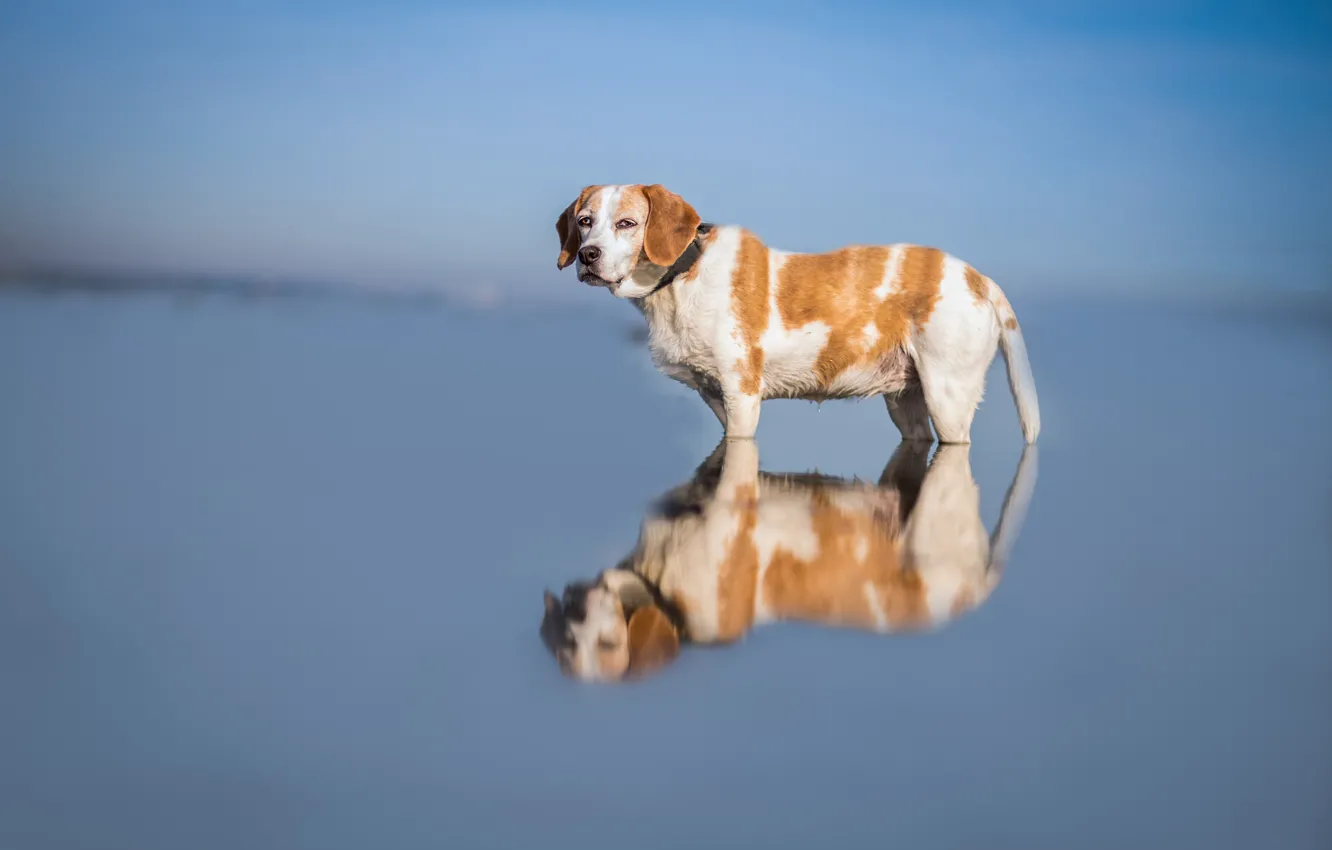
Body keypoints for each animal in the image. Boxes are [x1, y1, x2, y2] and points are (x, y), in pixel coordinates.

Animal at [551, 185, 1038, 447]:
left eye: (627, 224)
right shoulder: (714, 398)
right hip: (906, 403)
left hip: (947, 400)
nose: (588, 256)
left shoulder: (742, 397)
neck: (683, 276)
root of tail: (979, 278)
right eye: (585, 221)